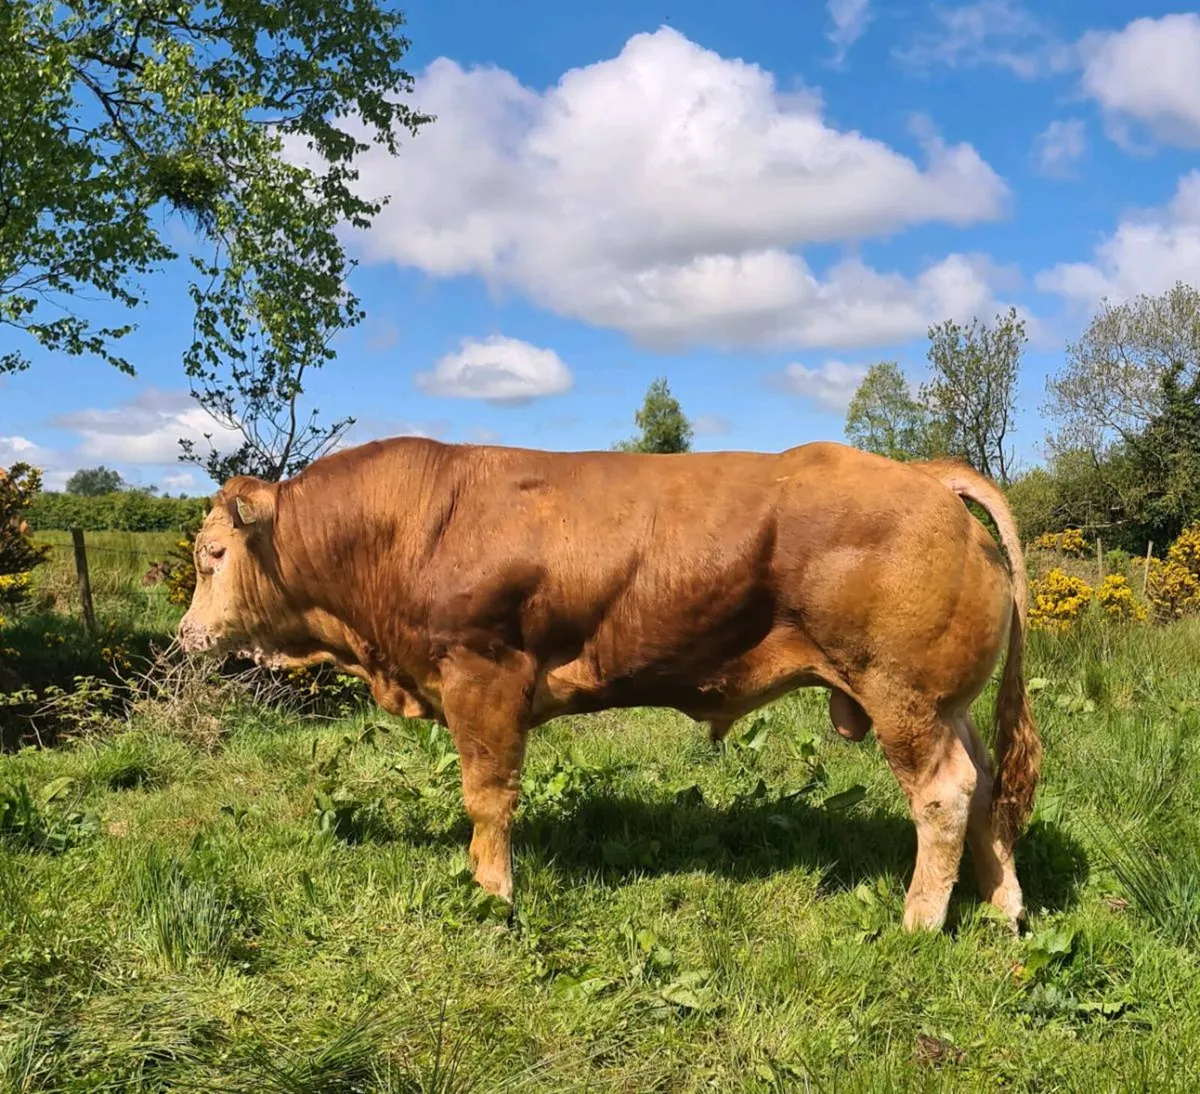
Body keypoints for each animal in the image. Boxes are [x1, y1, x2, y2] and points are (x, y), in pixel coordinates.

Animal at [177, 438, 1041, 933]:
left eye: (212, 556)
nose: (186, 634)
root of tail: (924, 477)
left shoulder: (482, 677)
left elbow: (487, 798)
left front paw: (493, 894)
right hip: (946, 705)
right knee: (988, 787)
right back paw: (1004, 905)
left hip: (903, 697)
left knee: (944, 796)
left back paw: (920, 920)